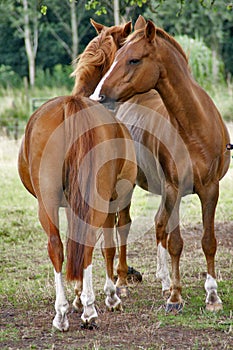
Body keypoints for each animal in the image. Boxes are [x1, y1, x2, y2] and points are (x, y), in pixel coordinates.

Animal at [18, 19, 137, 330]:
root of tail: (71, 106)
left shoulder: (72, 203)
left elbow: (74, 244)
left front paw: (76, 298)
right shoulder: (111, 198)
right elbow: (107, 247)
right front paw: (105, 297)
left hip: (47, 201)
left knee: (57, 247)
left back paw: (61, 313)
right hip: (99, 198)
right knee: (91, 244)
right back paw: (91, 310)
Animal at [92, 17, 230, 312]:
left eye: (133, 60)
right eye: (116, 58)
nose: (99, 96)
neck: (193, 129)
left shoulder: (210, 190)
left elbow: (208, 241)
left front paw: (212, 296)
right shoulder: (173, 188)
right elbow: (176, 241)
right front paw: (175, 298)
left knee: (155, 224)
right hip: (123, 187)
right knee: (124, 226)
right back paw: (122, 283)